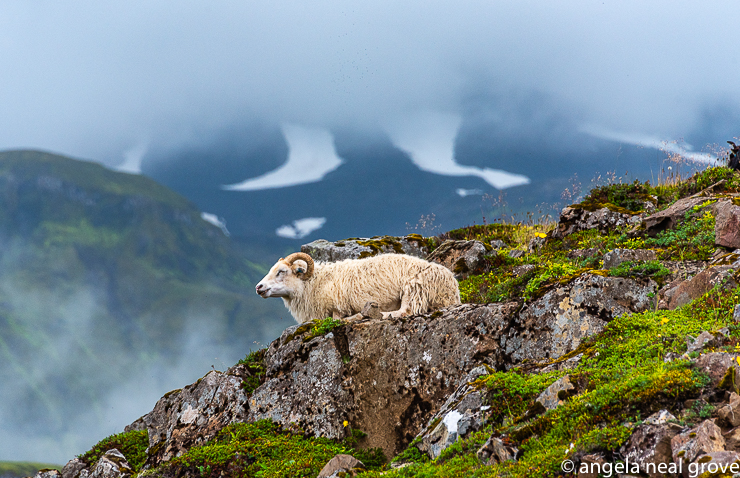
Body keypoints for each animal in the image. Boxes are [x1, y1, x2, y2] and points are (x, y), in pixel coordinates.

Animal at [258, 250, 460, 324]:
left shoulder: (337, 307)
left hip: (414, 288)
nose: (258, 287)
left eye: (281, 271)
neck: (314, 284)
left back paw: (368, 313)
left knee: (406, 311)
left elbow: (336, 317)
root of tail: (452, 289)